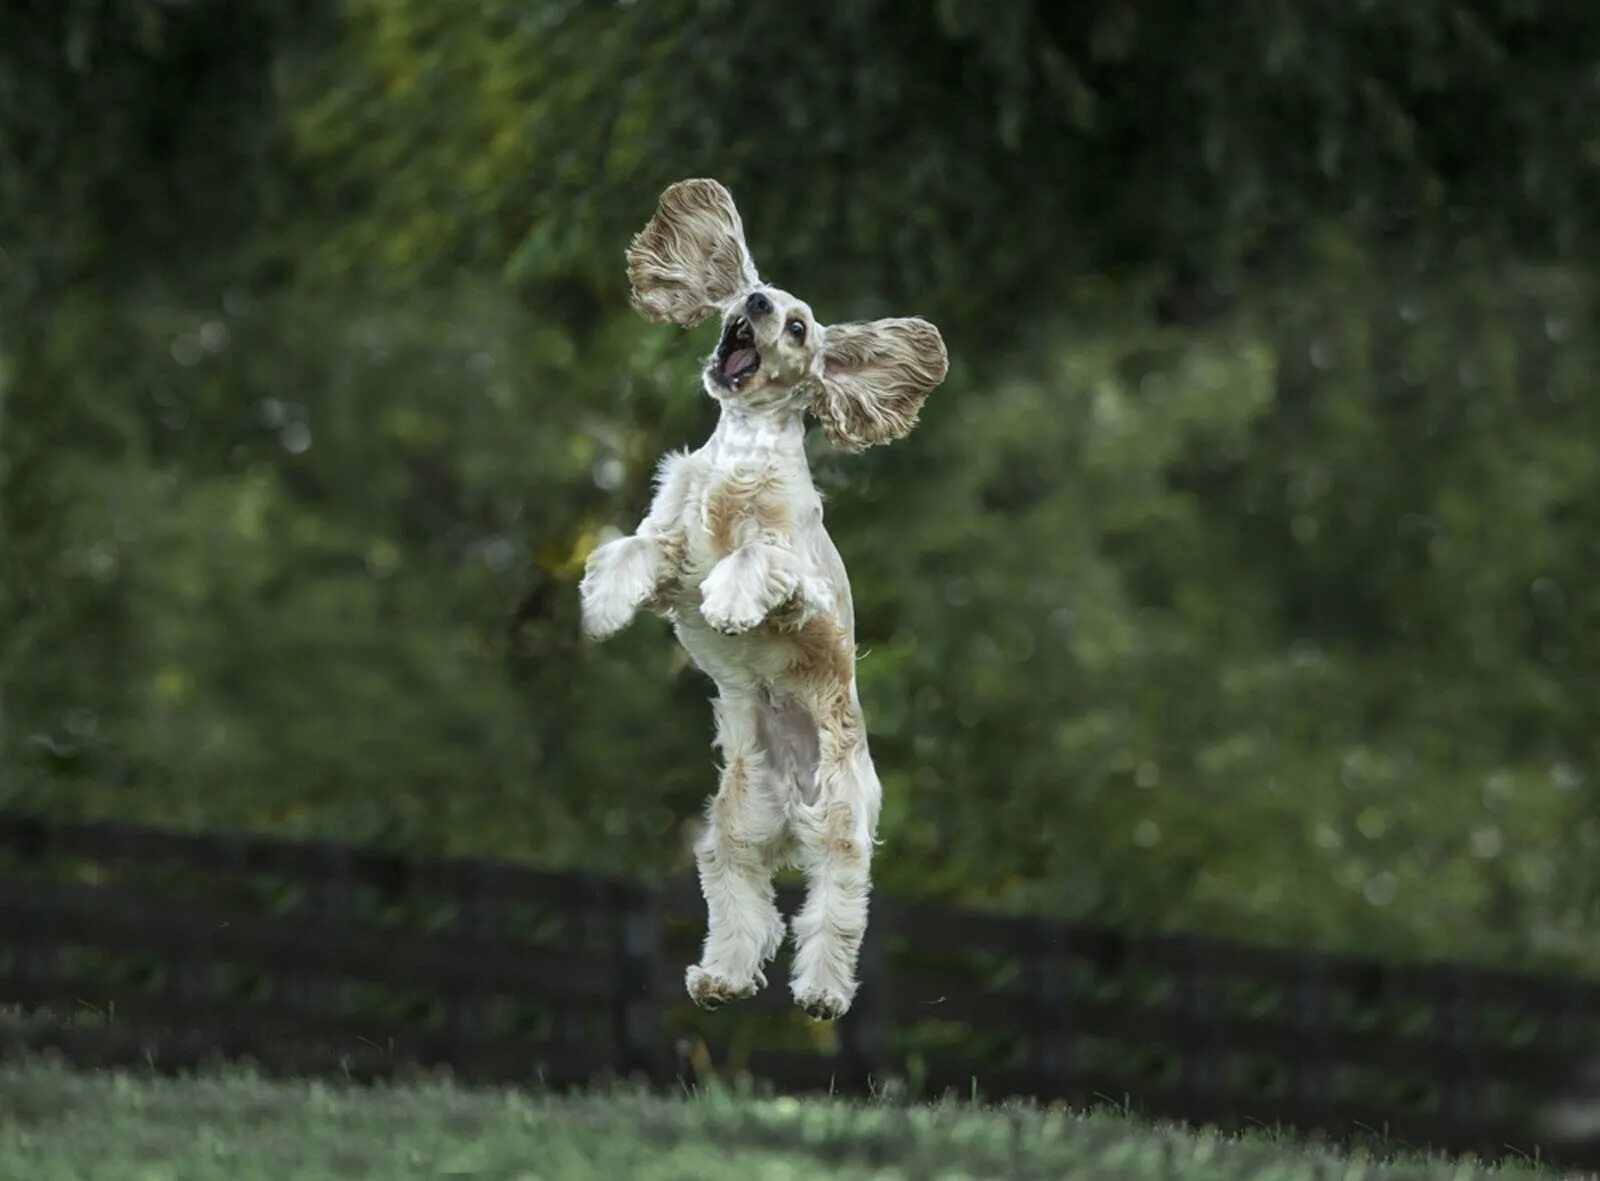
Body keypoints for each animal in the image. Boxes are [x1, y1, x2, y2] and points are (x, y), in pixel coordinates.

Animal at [579, 179, 940, 1017]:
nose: (755, 301)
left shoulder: (797, 574)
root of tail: (791, 815)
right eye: (759, 289)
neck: (742, 446)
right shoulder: (672, 541)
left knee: (832, 912)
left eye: (798, 323)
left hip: (840, 823)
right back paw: (720, 978)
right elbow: (637, 548)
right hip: (733, 827)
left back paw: (821, 994)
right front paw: (603, 604)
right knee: (743, 905)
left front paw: (732, 606)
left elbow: (752, 559)